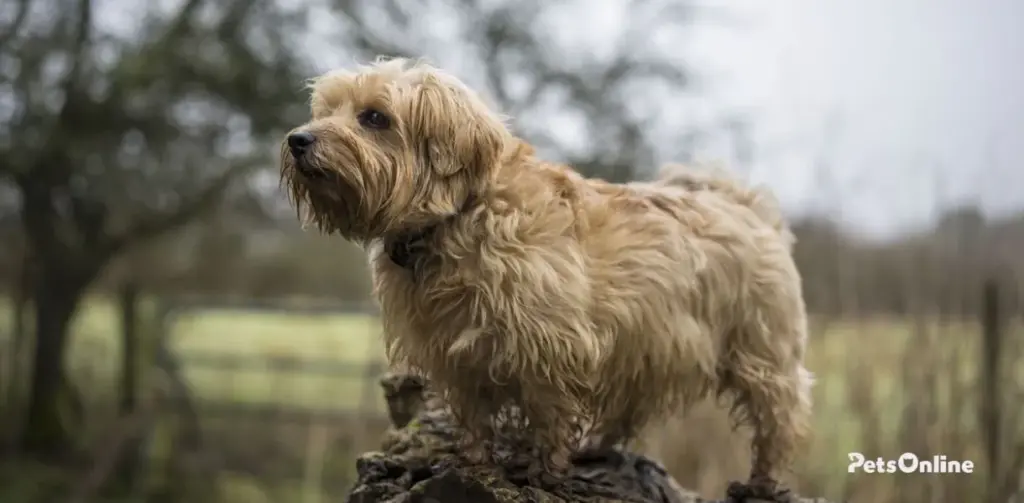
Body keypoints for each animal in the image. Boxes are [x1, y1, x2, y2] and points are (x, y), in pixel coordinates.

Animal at [280, 57, 815, 497]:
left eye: (375, 117)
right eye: (326, 109)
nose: (297, 140)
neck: (457, 217)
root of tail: (745, 205)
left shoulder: (552, 346)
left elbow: (548, 412)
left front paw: (540, 470)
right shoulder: (455, 352)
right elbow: (473, 414)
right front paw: (475, 460)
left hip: (760, 351)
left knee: (780, 417)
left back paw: (761, 480)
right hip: (646, 343)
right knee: (629, 407)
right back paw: (597, 445)